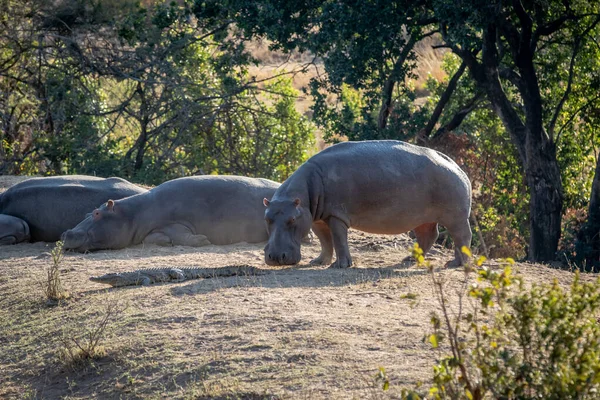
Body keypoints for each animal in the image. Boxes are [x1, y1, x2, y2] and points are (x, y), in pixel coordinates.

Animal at [62, 174, 282, 252]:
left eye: (97, 214)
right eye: (87, 213)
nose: (66, 233)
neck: (132, 213)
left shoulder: (177, 222)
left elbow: (180, 234)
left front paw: (202, 240)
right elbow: (152, 238)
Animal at [264, 139, 472, 268]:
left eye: (292, 220)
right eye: (267, 219)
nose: (275, 257)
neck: (301, 196)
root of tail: (457, 168)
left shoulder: (336, 215)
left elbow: (338, 240)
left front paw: (340, 266)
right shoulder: (316, 219)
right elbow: (325, 241)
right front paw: (318, 262)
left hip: (456, 217)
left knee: (461, 236)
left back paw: (455, 264)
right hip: (423, 217)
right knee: (428, 235)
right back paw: (408, 260)